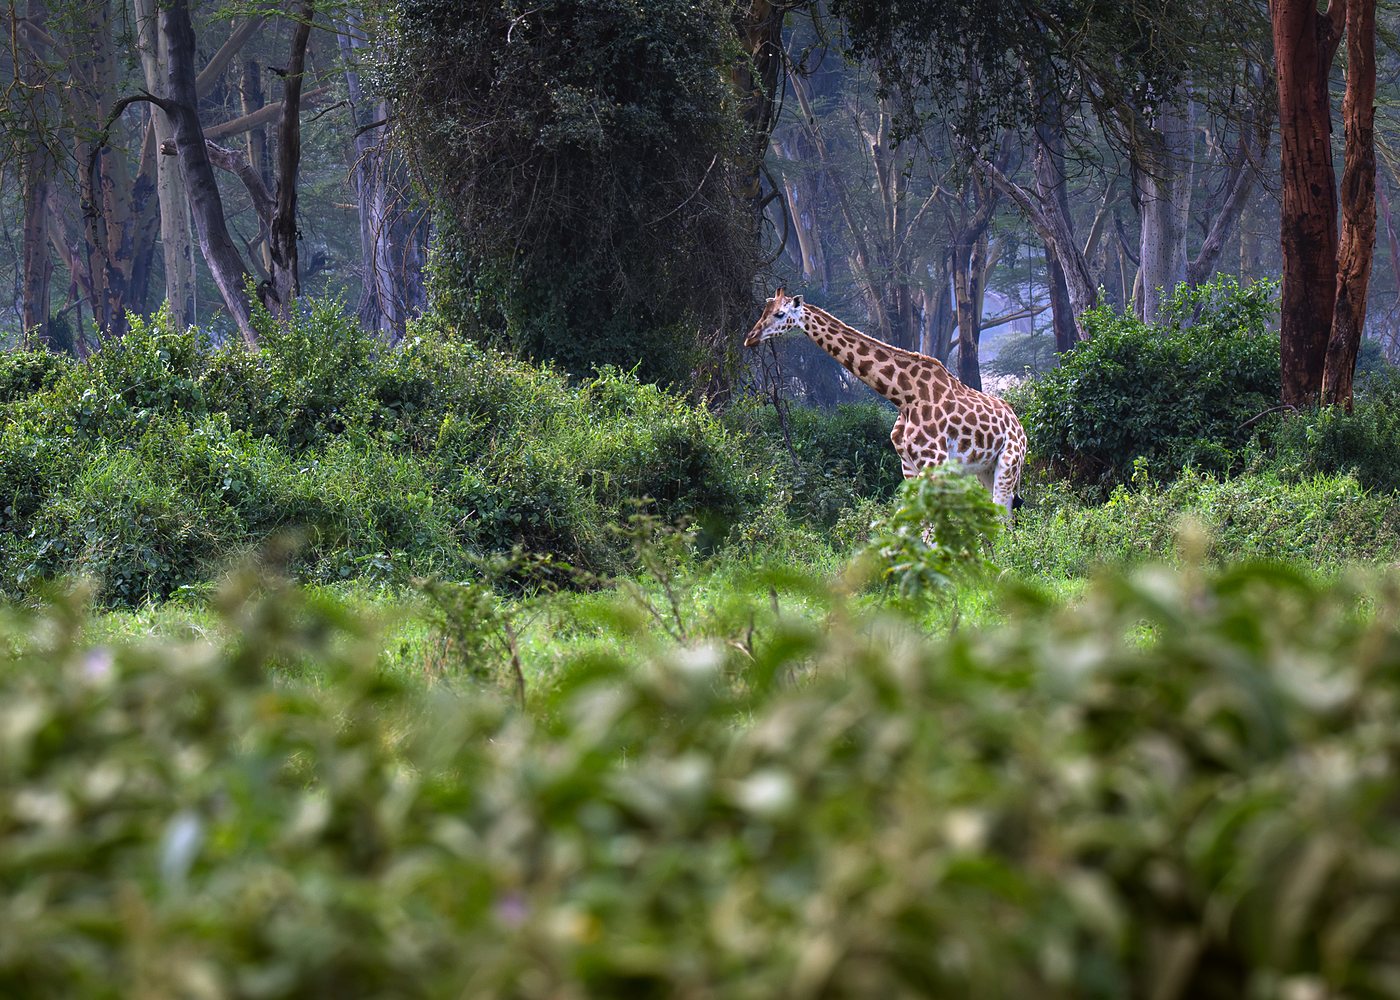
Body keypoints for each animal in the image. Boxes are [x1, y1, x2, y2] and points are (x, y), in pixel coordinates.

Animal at [745, 288, 1027, 514]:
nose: (750, 337)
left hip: (1009, 464)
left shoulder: (934, 462)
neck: (904, 397)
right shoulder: (909, 466)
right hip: (984, 470)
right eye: (763, 310)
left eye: (780, 314)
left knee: (1003, 517)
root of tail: (1019, 425)